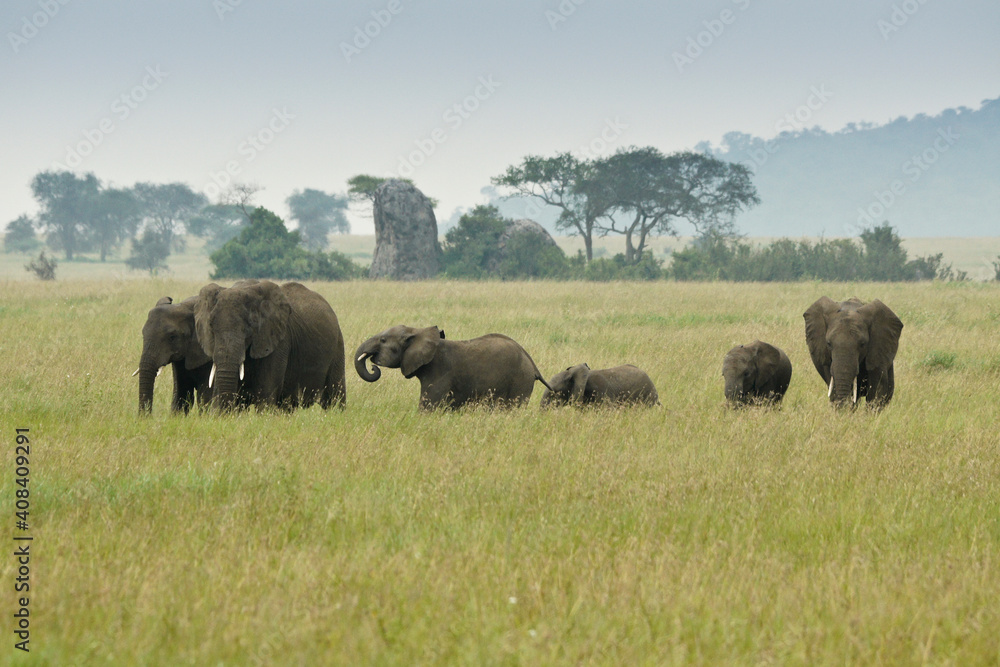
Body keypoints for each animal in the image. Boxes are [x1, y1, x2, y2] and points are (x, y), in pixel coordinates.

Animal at [194, 280, 345, 410]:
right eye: (211, 326)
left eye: (249, 326)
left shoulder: (279, 341)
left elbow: (265, 398)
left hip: (338, 345)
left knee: (335, 397)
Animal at [354, 325, 551, 409]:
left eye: (383, 340)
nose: (374, 366)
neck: (417, 331)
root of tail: (532, 363)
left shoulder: (439, 373)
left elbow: (428, 407)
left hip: (520, 380)